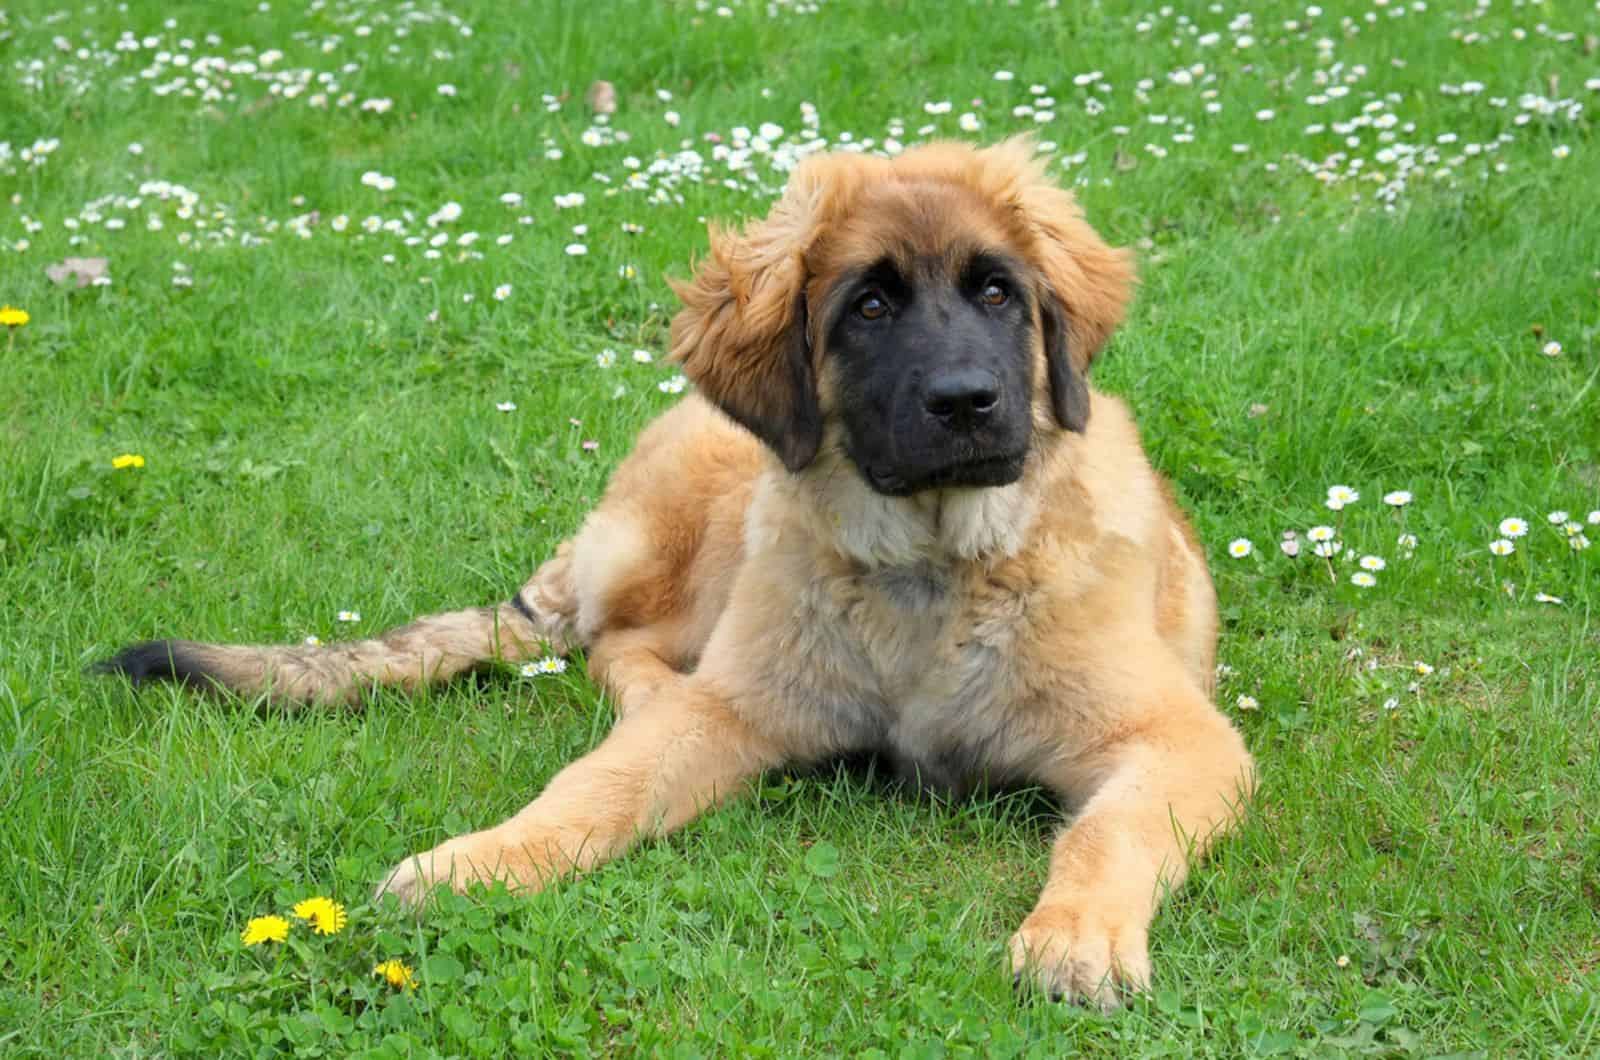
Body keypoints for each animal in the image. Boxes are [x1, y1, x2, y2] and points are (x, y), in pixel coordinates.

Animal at [100, 136, 1254, 1011]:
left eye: (999, 294)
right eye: (869, 308)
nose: (968, 401)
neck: (930, 566)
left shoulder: (1178, 738)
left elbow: (1109, 828)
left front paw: (1077, 937)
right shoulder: (736, 705)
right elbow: (598, 786)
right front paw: (479, 860)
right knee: (619, 646)